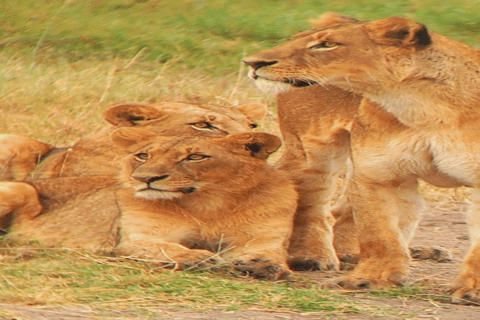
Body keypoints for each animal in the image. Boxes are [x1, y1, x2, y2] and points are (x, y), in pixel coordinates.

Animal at [2, 129, 296, 278]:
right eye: (143, 155)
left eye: (195, 157)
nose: (144, 179)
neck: (210, 205)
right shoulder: (137, 239)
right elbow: (168, 248)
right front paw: (199, 257)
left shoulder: (262, 240)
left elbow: (273, 257)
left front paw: (263, 265)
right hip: (19, 188)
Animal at [246, 11, 480, 302]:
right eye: (295, 40)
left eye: (327, 45)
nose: (252, 62)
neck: (423, 107)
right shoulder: (379, 174)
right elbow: (379, 234)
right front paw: (370, 279)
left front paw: (472, 290)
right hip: (310, 150)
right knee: (312, 204)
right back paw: (311, 256)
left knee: (342, 212)